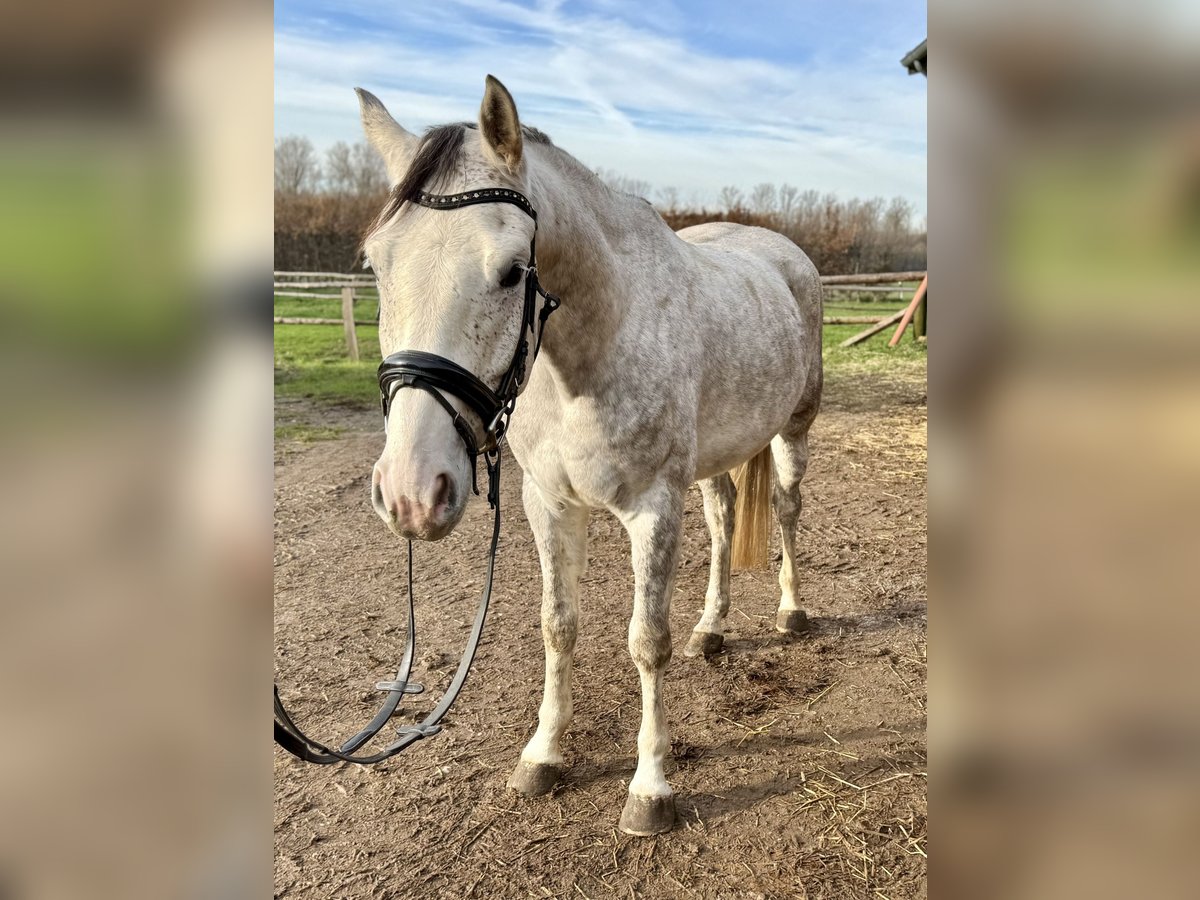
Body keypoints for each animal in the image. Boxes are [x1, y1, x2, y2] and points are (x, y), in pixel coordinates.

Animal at [358, 75, 822, 835]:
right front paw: (543, 755)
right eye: (376, 265)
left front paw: (651, 789)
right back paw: (712, 630)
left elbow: (645, 640)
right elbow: (559, 627)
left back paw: (790, 613)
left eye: (513, 270)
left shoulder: (653, 510)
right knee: (725, 518)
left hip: (794, 430)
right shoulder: (548, 504)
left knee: (784, 509)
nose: (411, 492)